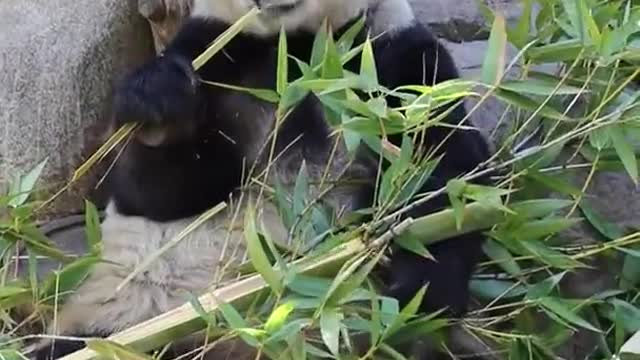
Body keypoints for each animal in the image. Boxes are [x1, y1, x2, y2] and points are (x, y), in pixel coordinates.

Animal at [33, 0, 490, 358]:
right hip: (121, 318)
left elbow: (442, 172)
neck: (295, 42)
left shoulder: (392, 59)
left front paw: (412, 297)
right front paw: (158, 105)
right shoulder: (214, 52)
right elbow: (160, 194)